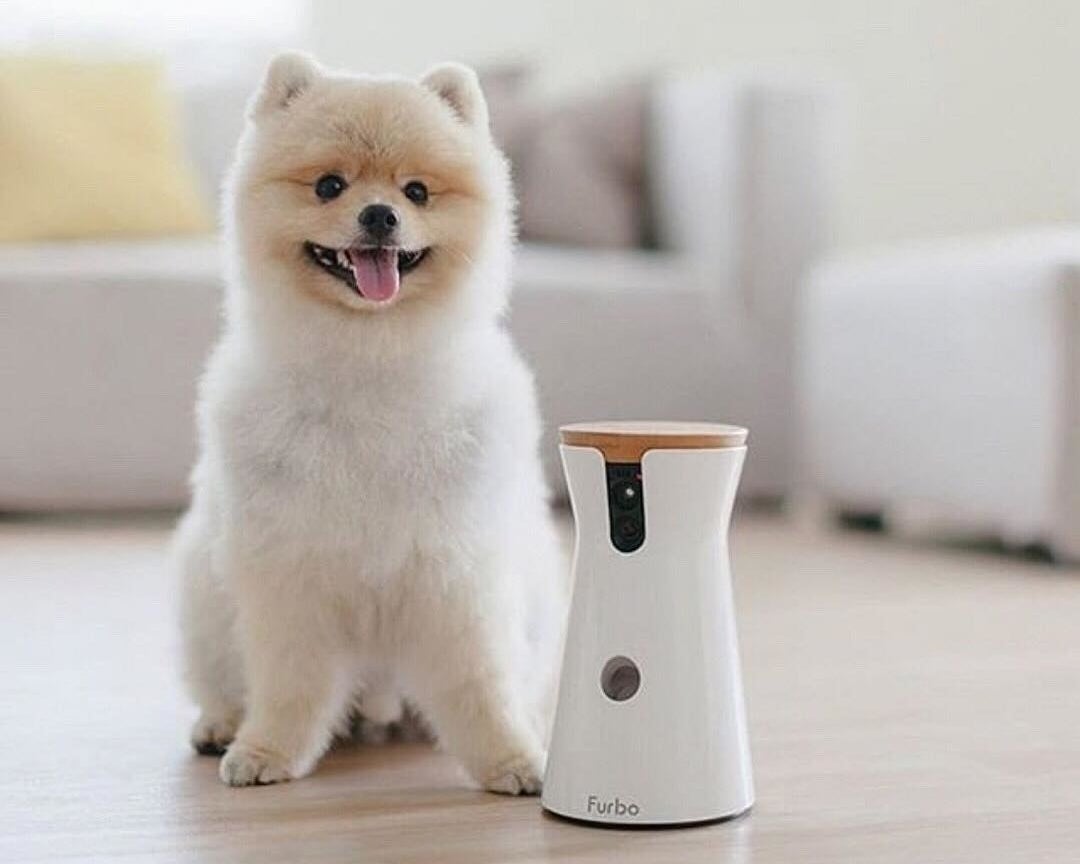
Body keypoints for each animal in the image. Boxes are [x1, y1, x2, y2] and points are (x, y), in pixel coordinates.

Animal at [170, 52, 565, 794]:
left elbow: (481, 682)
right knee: (220, 677)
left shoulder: (457, 569)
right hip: (201, 589)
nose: (380, 214)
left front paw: (511, 758)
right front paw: (268, 750)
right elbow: (289, 682)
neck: (370, 362)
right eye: (329, 185)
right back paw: (221, 724)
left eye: (417, 191)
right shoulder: (288, 571)